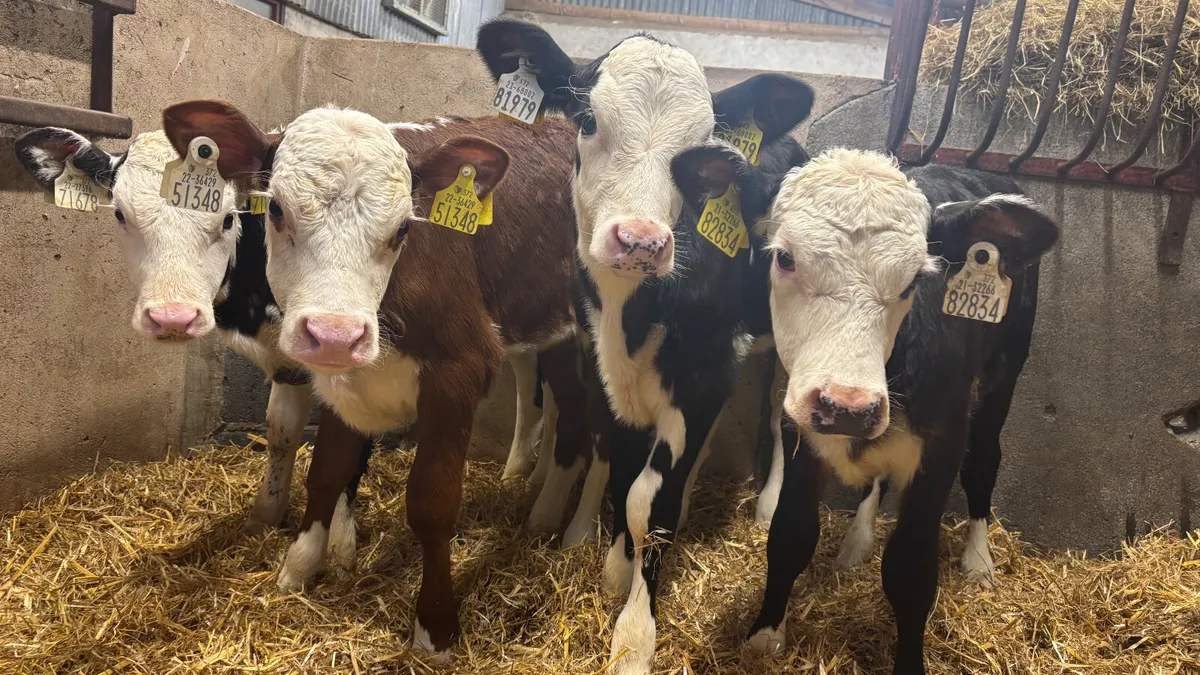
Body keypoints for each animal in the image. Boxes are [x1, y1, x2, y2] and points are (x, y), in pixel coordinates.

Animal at [158, 99, 595, 655]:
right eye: (275, 210)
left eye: (405, 228)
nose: (336, 335)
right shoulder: (337, 381)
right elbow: (326, 470)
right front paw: (298, 569)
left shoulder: (460, 369)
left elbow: (432, 501)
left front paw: (435, 626)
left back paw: (558, 522)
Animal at [477, 20, 812, 674]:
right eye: (586, 120)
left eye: (702, 154)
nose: (640, 240)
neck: (628, 315)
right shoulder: (608, 371)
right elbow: (622, 471)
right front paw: (615, 566)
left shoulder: (703, 372)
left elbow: (646, 505)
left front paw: (634, 635)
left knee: (777, 419)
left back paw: (766, 505)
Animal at [681, 147, 1059, 674]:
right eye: (784, 257)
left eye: (915, 280)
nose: (847, 406)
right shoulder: (803, 431)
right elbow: (790, 534)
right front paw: (764, 635)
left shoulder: (942, 444)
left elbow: (911, 571)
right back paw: (857, 539)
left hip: (1005, 369)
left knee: (985, 460)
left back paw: (979, 560)